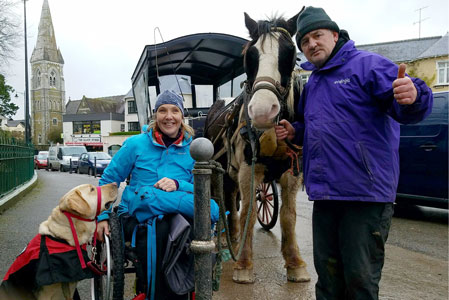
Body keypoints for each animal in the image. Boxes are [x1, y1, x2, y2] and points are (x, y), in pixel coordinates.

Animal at [204, 9, 312, 284]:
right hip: (225, 170)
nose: (262, 111)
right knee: (228, 201)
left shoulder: (292, 171)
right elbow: (249, 213)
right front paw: (243, 264)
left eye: (290, 53)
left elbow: (288, 216)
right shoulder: (247, 170)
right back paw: (228, 237)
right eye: (249, 56)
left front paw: (295, 263)